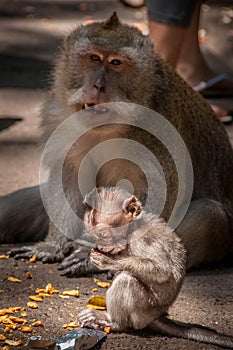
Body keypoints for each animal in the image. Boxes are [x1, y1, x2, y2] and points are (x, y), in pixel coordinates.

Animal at [0, 11, 233, 276]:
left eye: (116, 63)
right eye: (94, 58)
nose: (98, 86)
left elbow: (158, 196)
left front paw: (87, 257)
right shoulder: (60, 118)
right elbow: (67, 175)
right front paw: (51, 247)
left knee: (209, 216)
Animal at [78, 186, 233, 348]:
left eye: (103, 234)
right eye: (94, 236)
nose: (101, 247)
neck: (132, 229)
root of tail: (157, 314)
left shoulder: (142, 238)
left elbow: (162, 270)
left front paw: (108, 261)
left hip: (144, 309)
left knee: (126, 279)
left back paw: (114, 322)